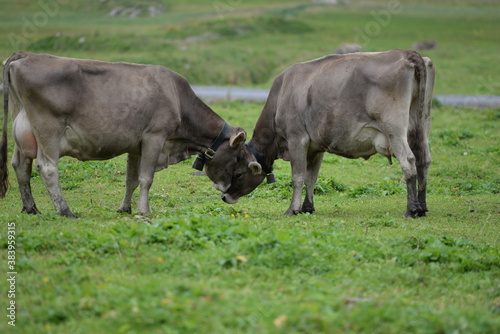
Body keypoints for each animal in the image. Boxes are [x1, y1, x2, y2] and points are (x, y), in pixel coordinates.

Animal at [0, 52, 258, 217]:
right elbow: (146, 179)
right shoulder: (155, 137)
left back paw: (31, 207)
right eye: (240, 164)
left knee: (20, 165)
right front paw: (144, 211)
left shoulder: (136, 146)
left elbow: (131, 180)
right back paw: (65, 210)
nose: (229, 198)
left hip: (22, 128)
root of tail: (24, 55)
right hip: (48, 129)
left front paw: (125, 208)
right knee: (47, 168)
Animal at [213, 48, 436, 218]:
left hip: (394, 129)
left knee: (409, 161)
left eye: (238, 173)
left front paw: (292, 209)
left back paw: (412, 209)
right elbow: (311, 177)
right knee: (423, 160)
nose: (224, 197)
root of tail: (406, 53)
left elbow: (298, 177)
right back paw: (423, 206)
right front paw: (307, 208)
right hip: (422, 124)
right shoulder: (316, 147)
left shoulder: (297, 139)